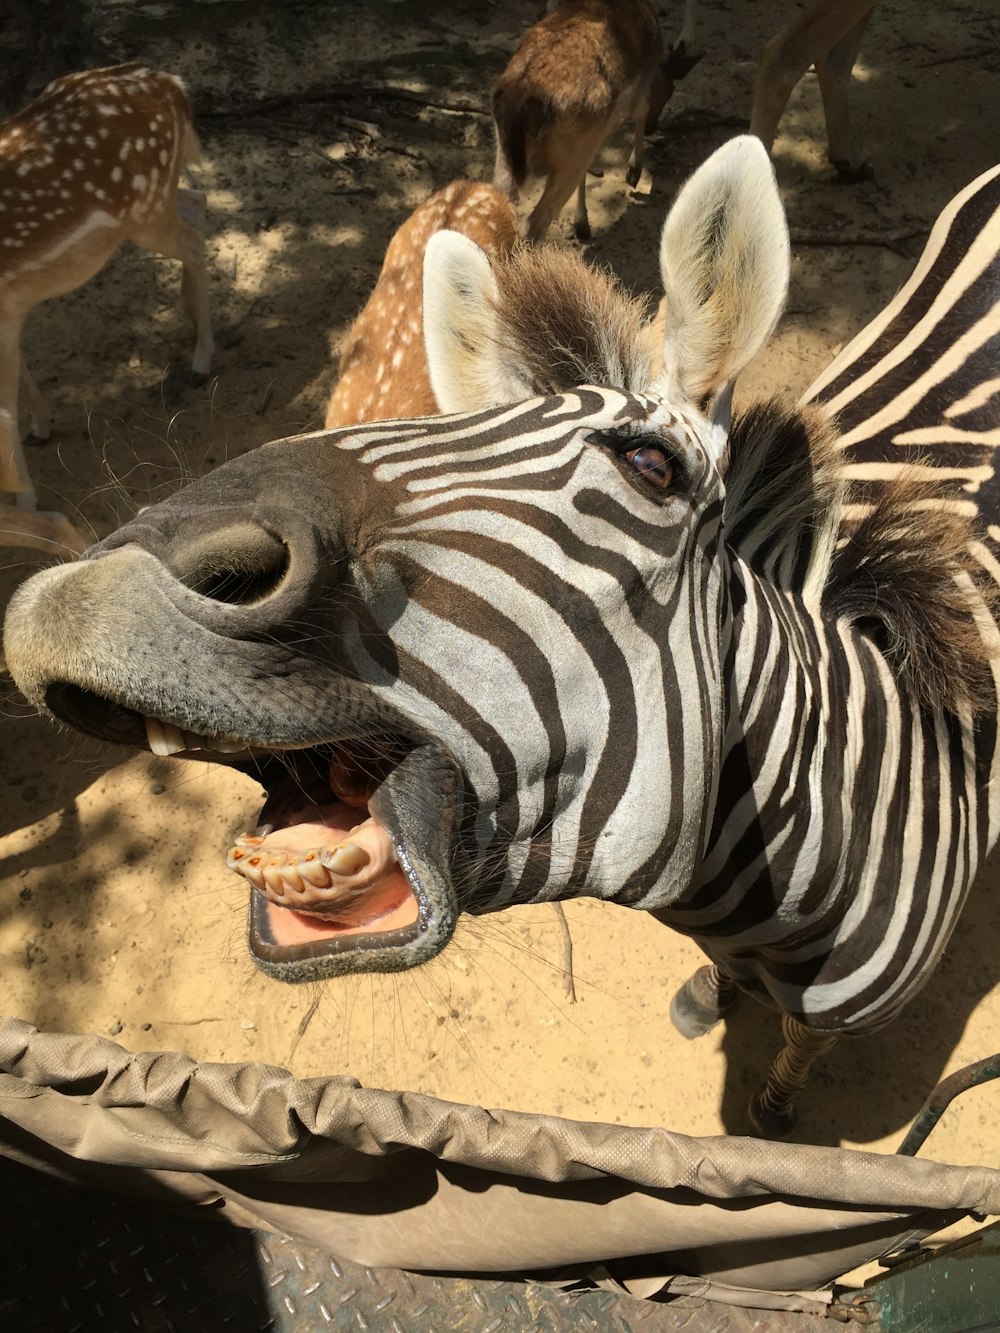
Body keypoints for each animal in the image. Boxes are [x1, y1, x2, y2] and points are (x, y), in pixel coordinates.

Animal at [0, 61, 216, 551]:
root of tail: (170, 85)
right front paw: (41, 426)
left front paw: (28, 500)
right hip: (159, 200)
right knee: (196, 202)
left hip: (145, 211)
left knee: (194, 239)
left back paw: (201, 360)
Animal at [490, 0, 666, 243]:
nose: (655, 126)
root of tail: (521, 100)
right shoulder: (639, 85)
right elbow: (643, 109)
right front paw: (633, 173)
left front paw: (582, 225)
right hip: (568, 157)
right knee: (536, 222)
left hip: (504, 156)